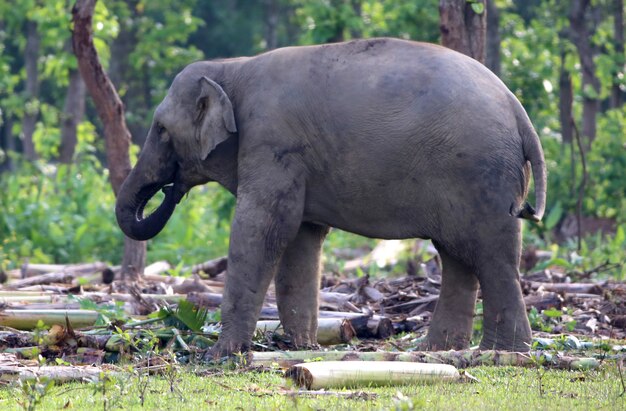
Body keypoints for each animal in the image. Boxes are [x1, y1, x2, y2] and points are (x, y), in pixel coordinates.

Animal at [114, 37, 544, 356]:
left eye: (160, 129)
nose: (171, 189)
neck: (232, 67)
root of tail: (519, 112)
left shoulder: (272, 140)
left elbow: (263, 227)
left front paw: (220, 355)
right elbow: (301, 237)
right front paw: (299, 347)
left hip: (481, 174)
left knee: (492, 257)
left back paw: (504, 352)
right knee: (458, 255)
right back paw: (438, 350)